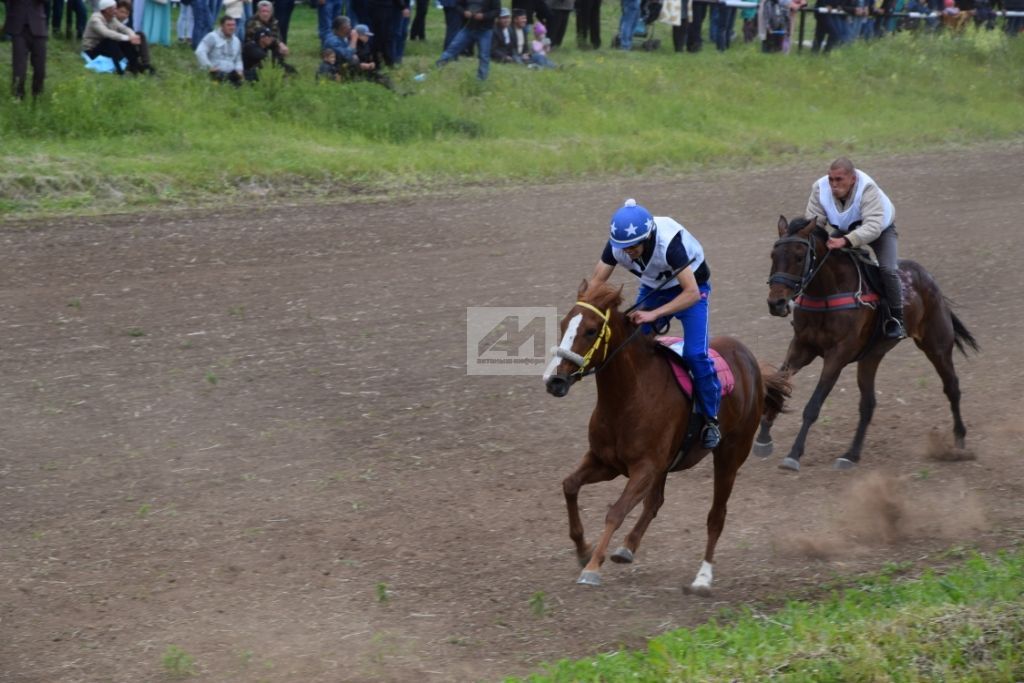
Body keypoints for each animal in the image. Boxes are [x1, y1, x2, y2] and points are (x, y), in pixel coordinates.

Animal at [544, 278, 790, 593]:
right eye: (564, 324)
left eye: (591, 330)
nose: (555, 381)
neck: (628, 397)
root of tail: (751, 361)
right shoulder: (606, 462)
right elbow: (570, 486)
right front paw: (583, 549)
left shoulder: (645, 468)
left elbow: (615, 512)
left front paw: (592, 567)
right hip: (667, 463)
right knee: (655, 502)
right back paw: (627, 548)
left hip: (730, 454)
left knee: (716, 515)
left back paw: (703, 577)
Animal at [761, 216, 974, 473]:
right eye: (773, 255)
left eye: (800, 256)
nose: (776, 303)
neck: (828, 292)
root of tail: (928, 279)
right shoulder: (802, 347)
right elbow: (776, 386)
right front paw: (762, 440)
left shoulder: (837, 355)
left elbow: (813, 405)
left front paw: (793, 454)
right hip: (871, 356)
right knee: (868, 404)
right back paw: (850, 455)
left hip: (937, 346)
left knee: (952, 386)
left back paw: (960, 440)